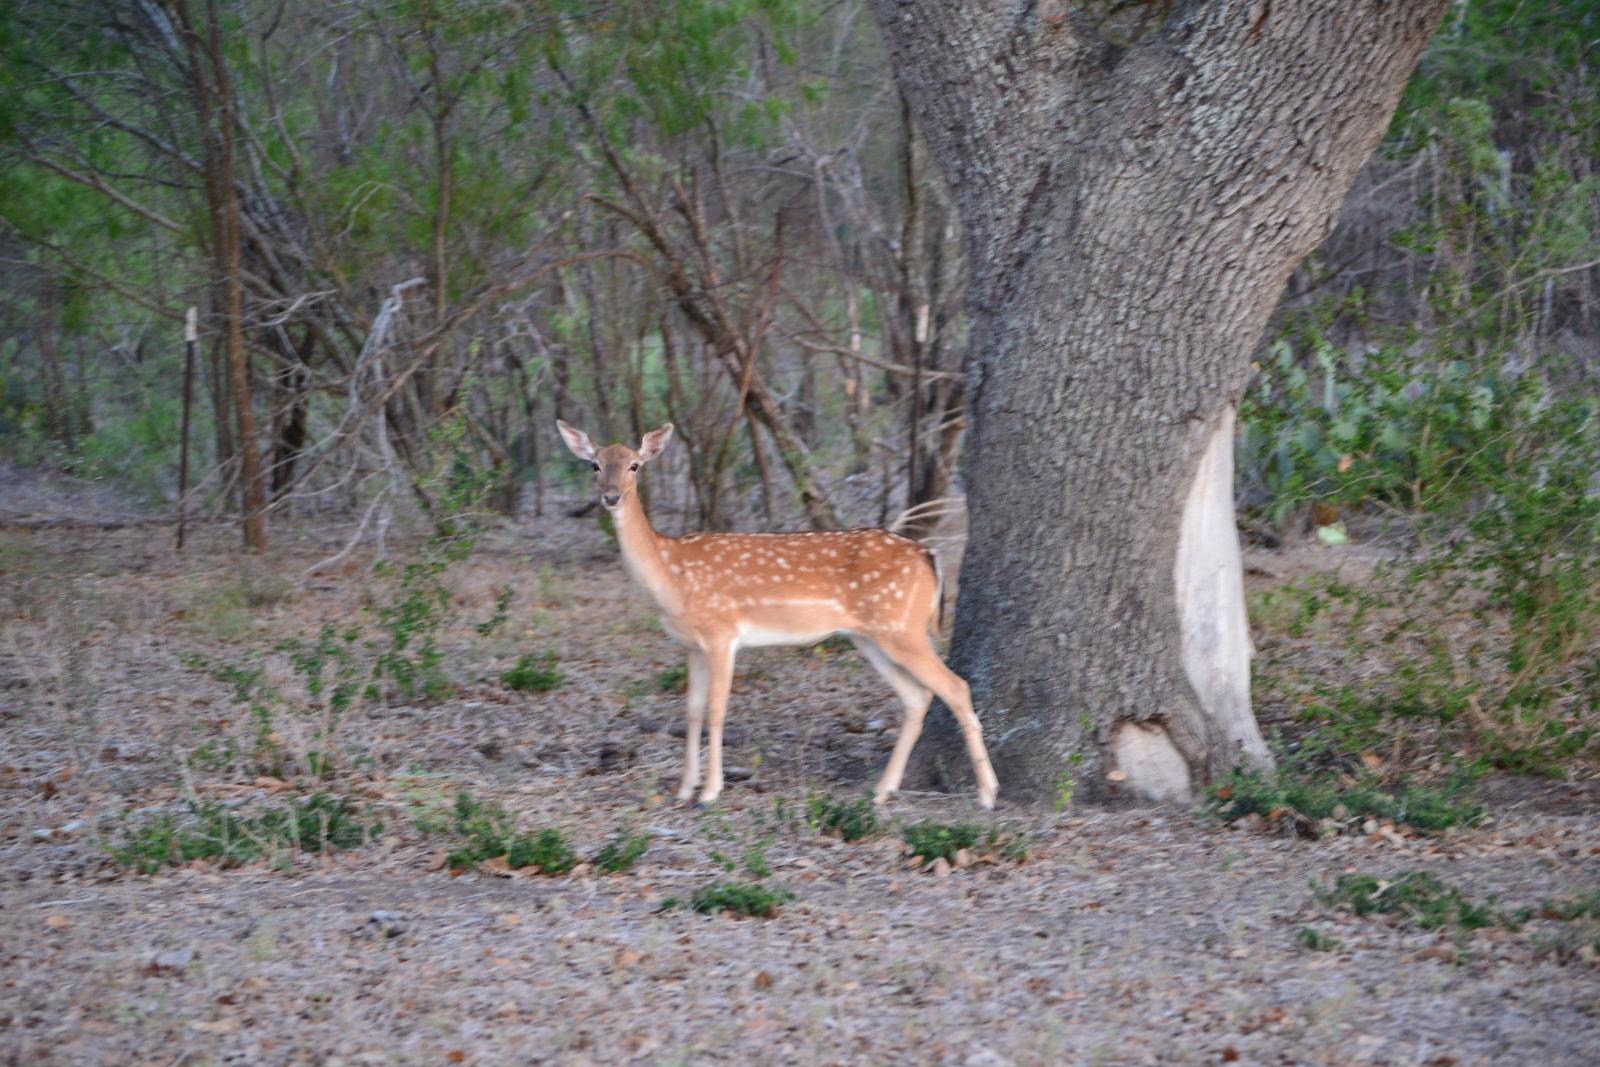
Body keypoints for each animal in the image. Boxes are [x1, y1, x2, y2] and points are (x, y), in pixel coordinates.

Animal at [556, 420, 999, 809]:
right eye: (595, 464)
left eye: (635, 464)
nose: (612, 496)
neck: (670, 574)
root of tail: (929, 555)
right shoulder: (692, 645)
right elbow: (692, 710)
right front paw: (683, 790)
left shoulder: (721, 633)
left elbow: (717, 709)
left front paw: (710, 793)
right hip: (871, 636)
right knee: (917, 696)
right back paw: (882, 790)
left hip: (901, 626)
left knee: (955, 687)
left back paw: (987, 794)